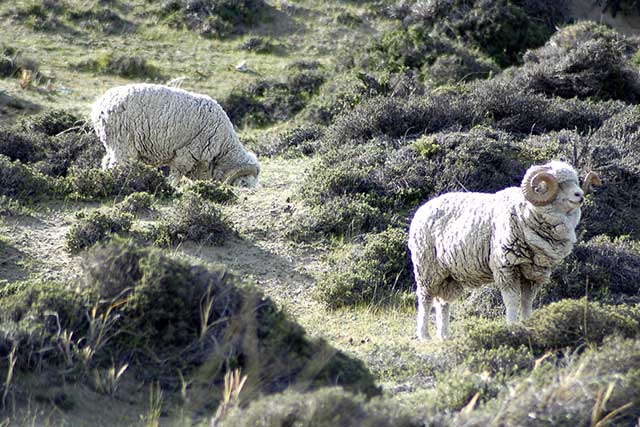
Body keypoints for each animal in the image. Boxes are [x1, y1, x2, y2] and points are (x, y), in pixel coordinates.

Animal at [90, 83, 260, 187]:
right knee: (116, 164)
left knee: (106, 162)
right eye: (244, 183)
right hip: (123, 143)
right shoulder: (187, 153)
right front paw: (172, 188)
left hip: (113, 144)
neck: (223, 145)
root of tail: (100, 106)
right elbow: (176, 175)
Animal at [410, 161, 600, 342]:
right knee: (425, 299)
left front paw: (529, 325)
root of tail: (422, 209)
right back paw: (424, 335)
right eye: (558, 184)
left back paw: (444, 335)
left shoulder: (534, 274)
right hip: (427, 268)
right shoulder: (507, 268)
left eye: (575, 182)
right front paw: (512, 328)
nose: (579, 195)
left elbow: (527, 302)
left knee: (443, 303)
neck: (525, 213)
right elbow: (512, 302)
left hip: (450, 276)